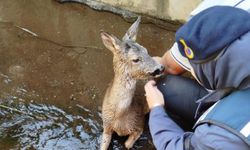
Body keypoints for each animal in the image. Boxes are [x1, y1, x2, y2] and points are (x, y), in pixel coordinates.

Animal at [99, 16, 164, 149]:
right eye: (135, 59)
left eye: (146, 50)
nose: (160, 68)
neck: (120, 119)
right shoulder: (106, 125)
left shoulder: (139, 124)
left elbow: (127, 144)